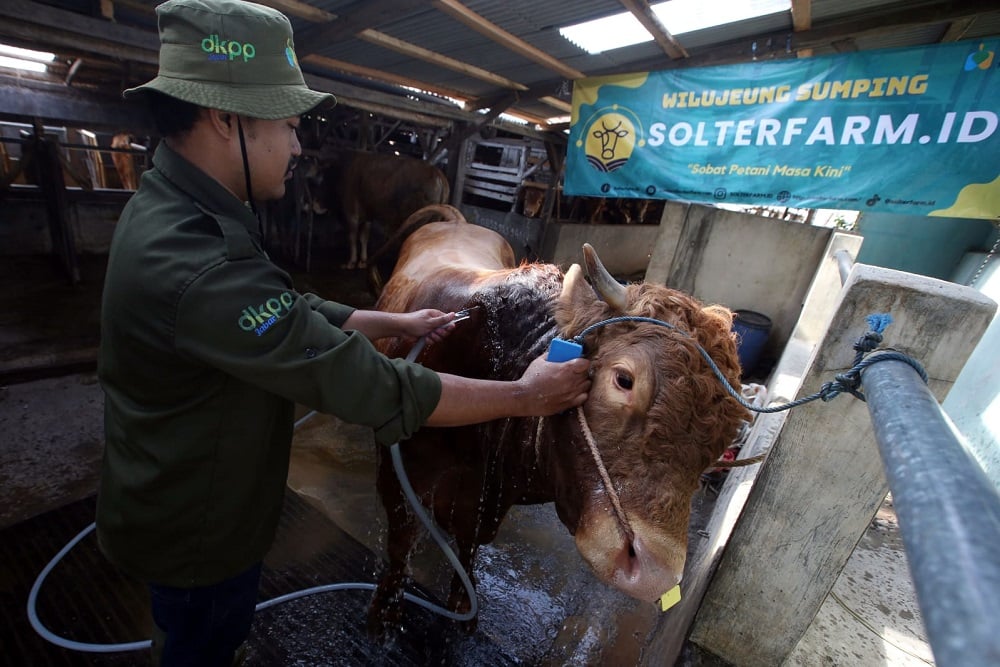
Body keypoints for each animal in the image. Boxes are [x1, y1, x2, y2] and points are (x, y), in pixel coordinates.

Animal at [308, 149, 450, 268]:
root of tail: (437, 173)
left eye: (321, 181)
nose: (314, 204)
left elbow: (352, 236)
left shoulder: (351, 213)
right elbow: (364, 237)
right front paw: (363, 261)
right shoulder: (367, 215)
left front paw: (351, 262)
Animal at [370, 214, 752, 636]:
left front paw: (462, 603)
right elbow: (402, 538)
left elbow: (468, 543)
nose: (655, 575)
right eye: (624, 380)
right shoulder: (400, 469)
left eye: (725, 439)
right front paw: (386, 610)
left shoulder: (481, 498)